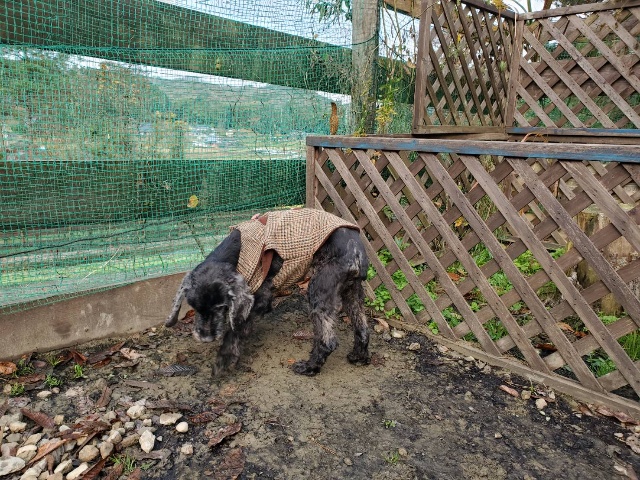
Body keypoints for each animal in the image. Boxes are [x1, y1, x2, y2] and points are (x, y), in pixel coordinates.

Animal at [165, 208, 371, 376]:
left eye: (221, 307)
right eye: (194, 307)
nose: (205, 338)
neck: (238, 254)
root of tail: (356, 252)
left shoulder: (260, 299)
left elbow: (235, 331)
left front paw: (223, 361)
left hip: (318, 290)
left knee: (328, 341)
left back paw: (309, 367)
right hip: (351, 292)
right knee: (362, 328)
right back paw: (358, 357)